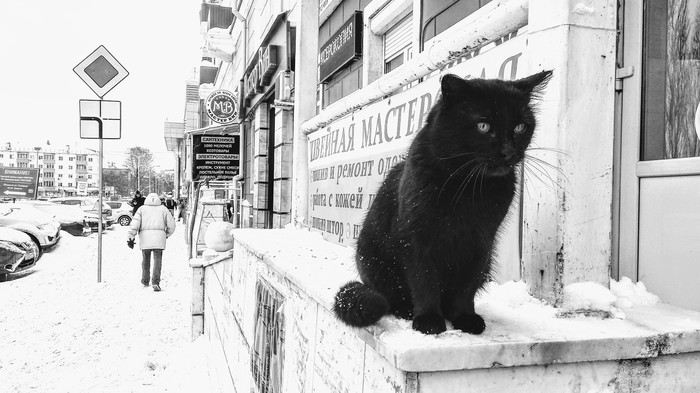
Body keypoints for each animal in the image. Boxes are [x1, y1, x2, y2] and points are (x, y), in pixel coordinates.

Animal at [332, 70, 552, 334]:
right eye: (483, 126)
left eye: (520, 127)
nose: (509, 152)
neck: (468, 187)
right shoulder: (416, 237)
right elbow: (424, 280)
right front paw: (428, 319)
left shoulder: (481, 242)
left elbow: (466, 286)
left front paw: (465, 317)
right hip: (372, 260)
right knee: (389, 297)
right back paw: (407, 310)